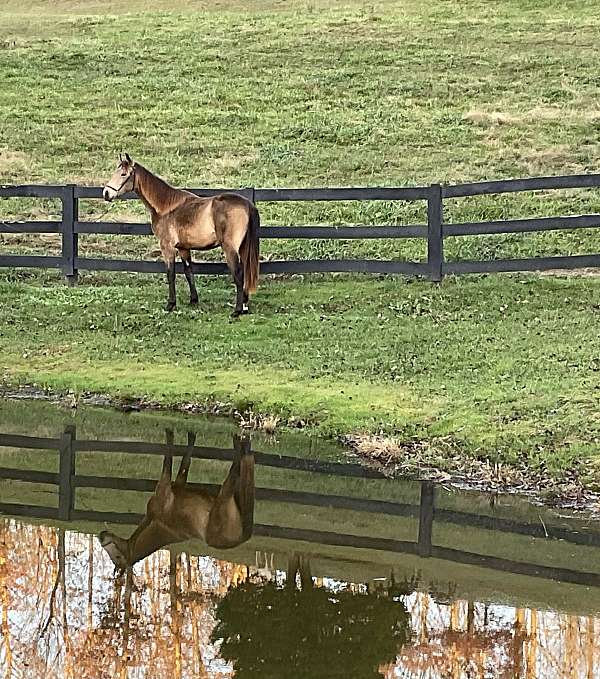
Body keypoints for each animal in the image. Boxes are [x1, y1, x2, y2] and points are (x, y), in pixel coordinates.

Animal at [99, 432, 254, 572]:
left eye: (117, 556)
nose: (101, 536)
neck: (155, 520)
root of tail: (243, 537)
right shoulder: (170, 487)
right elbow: (177, 461)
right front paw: (179, 435)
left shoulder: (170, 487)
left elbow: (177, 460)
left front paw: (183, 435)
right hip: (227, 498)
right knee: (239, 466)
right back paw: (242, 444)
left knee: (240, 465)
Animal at [101, 153, 260, 318]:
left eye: (123, 174)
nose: (106, 193)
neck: (166, 206)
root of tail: (247, 204)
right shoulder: (184, 248)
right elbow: (188, 272)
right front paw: (193, 300)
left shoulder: (167, 247)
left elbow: (170, 274)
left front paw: (170, 304)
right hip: (243, 248)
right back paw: (245, 305)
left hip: (230, 248)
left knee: (239, 274)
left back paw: (237, 310)